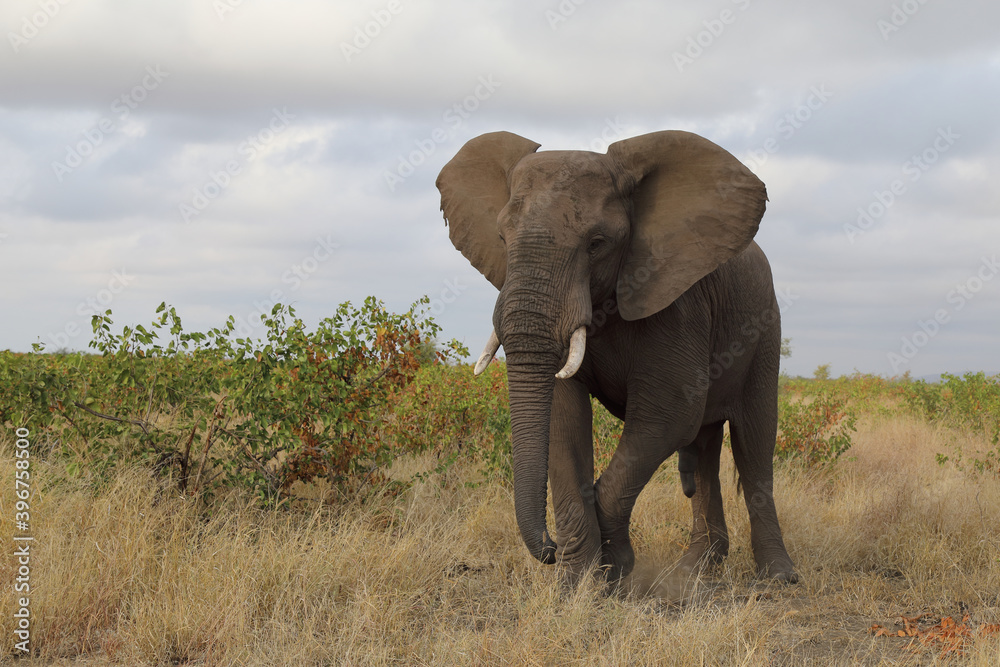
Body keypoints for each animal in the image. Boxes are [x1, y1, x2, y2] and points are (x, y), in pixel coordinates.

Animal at [435, 130, 798, 586]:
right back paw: (695, 568)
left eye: (597, 244)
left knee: (754, 441)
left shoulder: (678, 301)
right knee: (705, 448)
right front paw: (577, 583)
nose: (549, 549)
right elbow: (564, 418)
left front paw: (615, 569)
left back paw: (777, 577)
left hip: (765, 325)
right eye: (502, 239)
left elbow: (668, 414)